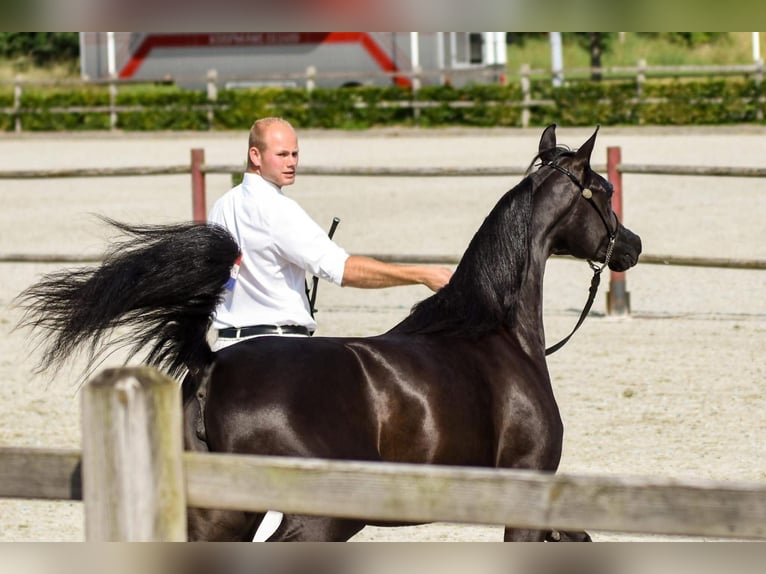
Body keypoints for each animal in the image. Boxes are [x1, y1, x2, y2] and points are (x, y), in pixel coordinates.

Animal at [18, 124, 641, 541]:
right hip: (318, 517)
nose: (631, 245)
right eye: (605, 191)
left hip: (219, 514)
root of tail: (211, 368)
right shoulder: (526, 493)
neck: (497, 335)